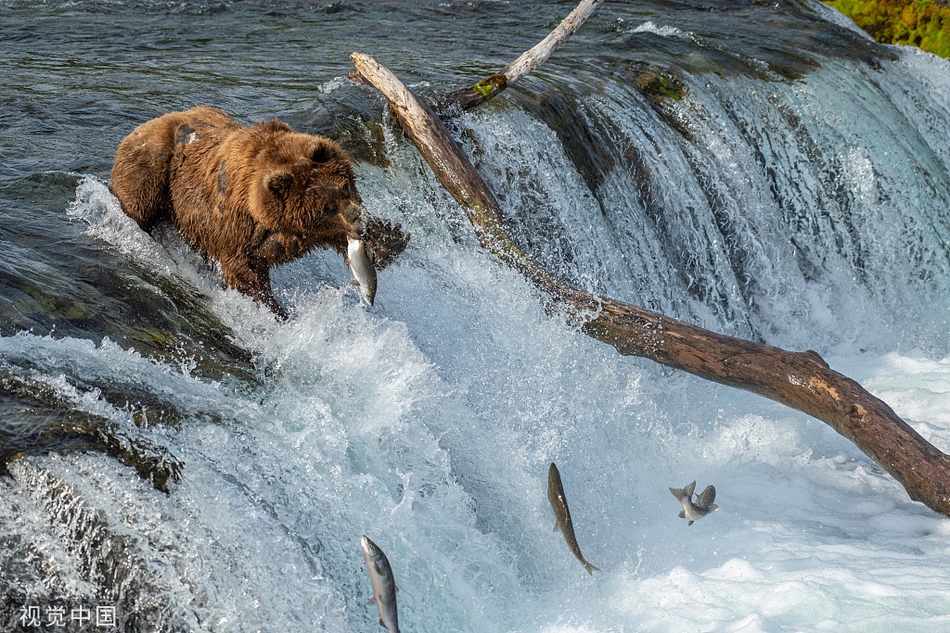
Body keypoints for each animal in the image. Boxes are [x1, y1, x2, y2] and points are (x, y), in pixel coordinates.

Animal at [110, 105, 407, 319]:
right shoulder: (236, 226)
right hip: (153, 171)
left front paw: (388, 239)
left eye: (345, 187)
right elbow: (243, 271)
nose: (361, 225)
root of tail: (144, 125)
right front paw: (272, 307)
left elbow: (337, 242)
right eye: (327, 208)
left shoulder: (293, 231)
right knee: (140, 204)